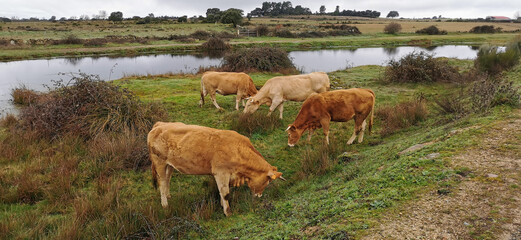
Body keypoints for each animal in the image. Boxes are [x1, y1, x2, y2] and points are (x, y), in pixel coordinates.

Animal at [146, 121, 284, 217]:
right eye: (268, 181)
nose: (259, 195)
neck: (238, 149)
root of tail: (160, 125)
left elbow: (221, 192)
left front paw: (222, 206)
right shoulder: (221, 173)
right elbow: (225, 193)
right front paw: (228, 212)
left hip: (169, 165)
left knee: (167, 180)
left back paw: (168, 196)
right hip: (159, 163)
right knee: (162, 183)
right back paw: (165, 205)